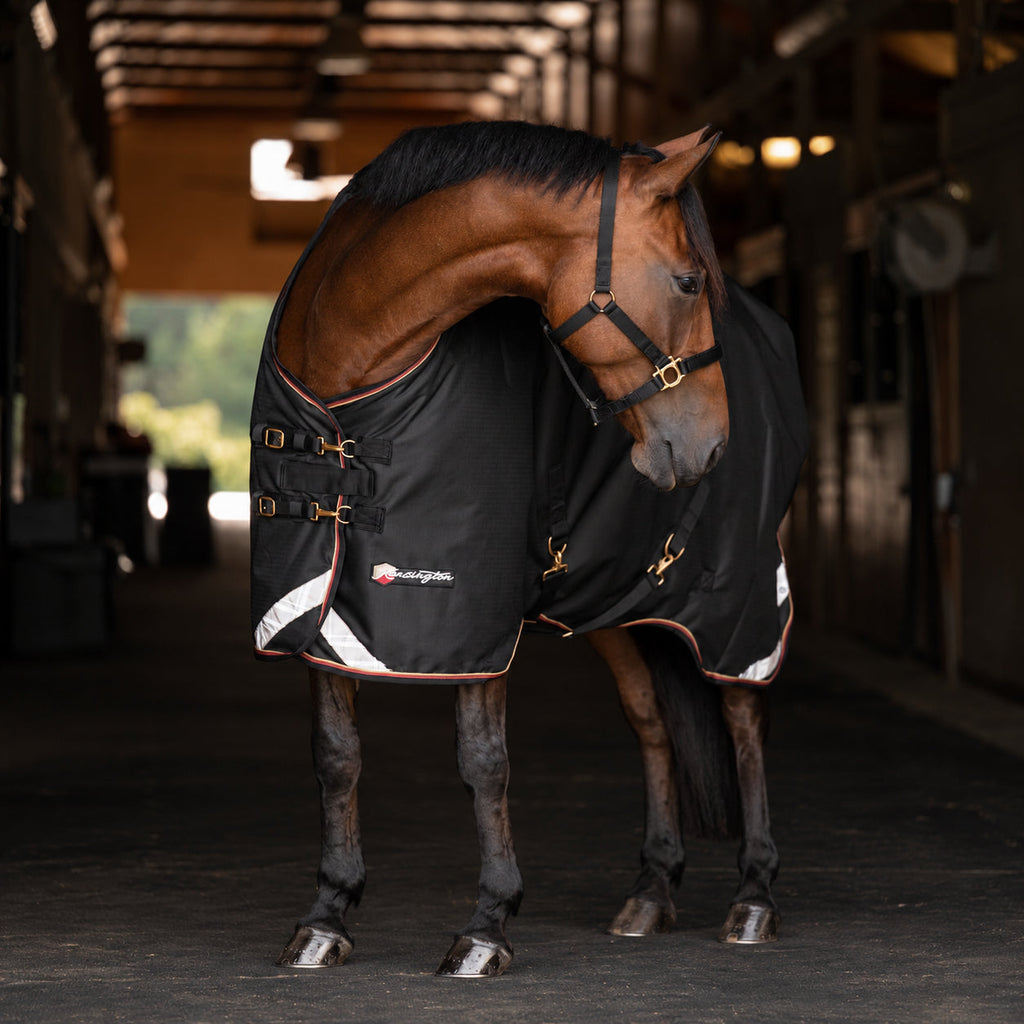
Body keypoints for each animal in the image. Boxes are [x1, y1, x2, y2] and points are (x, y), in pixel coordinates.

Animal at [252, 120, 788, 978]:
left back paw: (754, 899)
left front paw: (486, 928)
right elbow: (335, 754)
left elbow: (483, 761)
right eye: (685, 282)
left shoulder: (477, 609)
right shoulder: (316, 607)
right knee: (650, 721)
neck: (353, 373)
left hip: (738, 597)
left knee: (743, 713)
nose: (709, 444)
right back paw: (651, 891)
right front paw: (327, 917)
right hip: (620, 605)